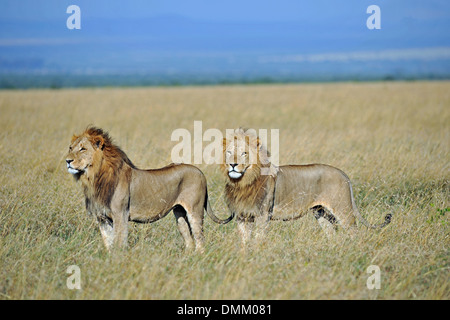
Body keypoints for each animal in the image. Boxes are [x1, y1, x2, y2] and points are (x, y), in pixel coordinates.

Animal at [65, 126, 232, 251]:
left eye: (82, 149)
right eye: (71, 148)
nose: (67, 161)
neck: (94, 178)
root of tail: (200, 172)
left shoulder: (120, 214)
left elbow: (119, 242)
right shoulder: (102, 218)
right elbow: (108, 243)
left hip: (195, 211)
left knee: (200, 238)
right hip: (179, 213)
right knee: (188, 239)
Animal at [221, 126, 390, 244]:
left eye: (244, 153)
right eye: (229, 152)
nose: (233, 165)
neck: (242, 182)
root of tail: (343, 174)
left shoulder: (263, 215)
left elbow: (258, 239)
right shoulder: (242, 216)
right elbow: (244, 241)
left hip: (343, 209)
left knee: (354, 232)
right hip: (321, 212)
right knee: (332, 234)